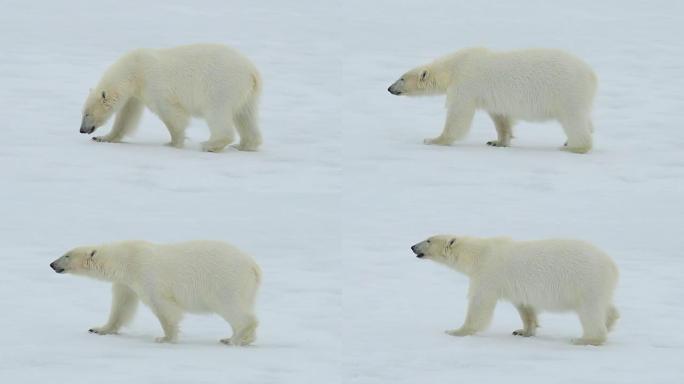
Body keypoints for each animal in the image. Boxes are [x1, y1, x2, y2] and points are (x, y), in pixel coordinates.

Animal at [48, 240, 262, 344]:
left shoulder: (146, 275)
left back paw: (236, 339)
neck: (125, 260)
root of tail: (253, 266)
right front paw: (99, 329)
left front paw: (165, 338)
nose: (52, 264)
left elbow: (163, 307)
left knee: (232, 308)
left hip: (225, 281)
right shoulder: (127, 283)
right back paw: (233, 338)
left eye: (66, 255)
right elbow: (121, 306)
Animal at [78, 44, 262, 152]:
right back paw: (245, 145)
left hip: (220, 85)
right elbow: (127, 115)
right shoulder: (135, 93)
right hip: (247, 94)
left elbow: (170, 114)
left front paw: (173, 143)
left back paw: (211, 144)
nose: (82, 130)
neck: (134, 71)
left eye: (87, 114)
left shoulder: (153, 84)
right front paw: (103, 138)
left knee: (217, 113)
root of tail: (252, 71)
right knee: (245, 116)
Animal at [390, 48, 600, 154]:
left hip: (566, 91)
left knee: (573, 120)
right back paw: (568, 141)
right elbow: (500, 118)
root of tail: (591, 74)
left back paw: (575, 147)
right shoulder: (491, 97)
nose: (389, 88)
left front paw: (433, 140)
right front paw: (497, 142)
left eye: (401, 78)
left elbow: (458, 115)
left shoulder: (466, 83)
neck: (453, 68)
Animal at [412, 234, 620, 344]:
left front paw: (456, 331)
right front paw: (523, 331)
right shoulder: (514, 286)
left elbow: (479, 305)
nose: (413, 246)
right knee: (606, 306)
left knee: (590, 311)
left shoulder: (489, 274)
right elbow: (525, 307)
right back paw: (610, 322)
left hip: (585, 281)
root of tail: (612, 265)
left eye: (428, 240)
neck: (479, 254)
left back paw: (586, 339)